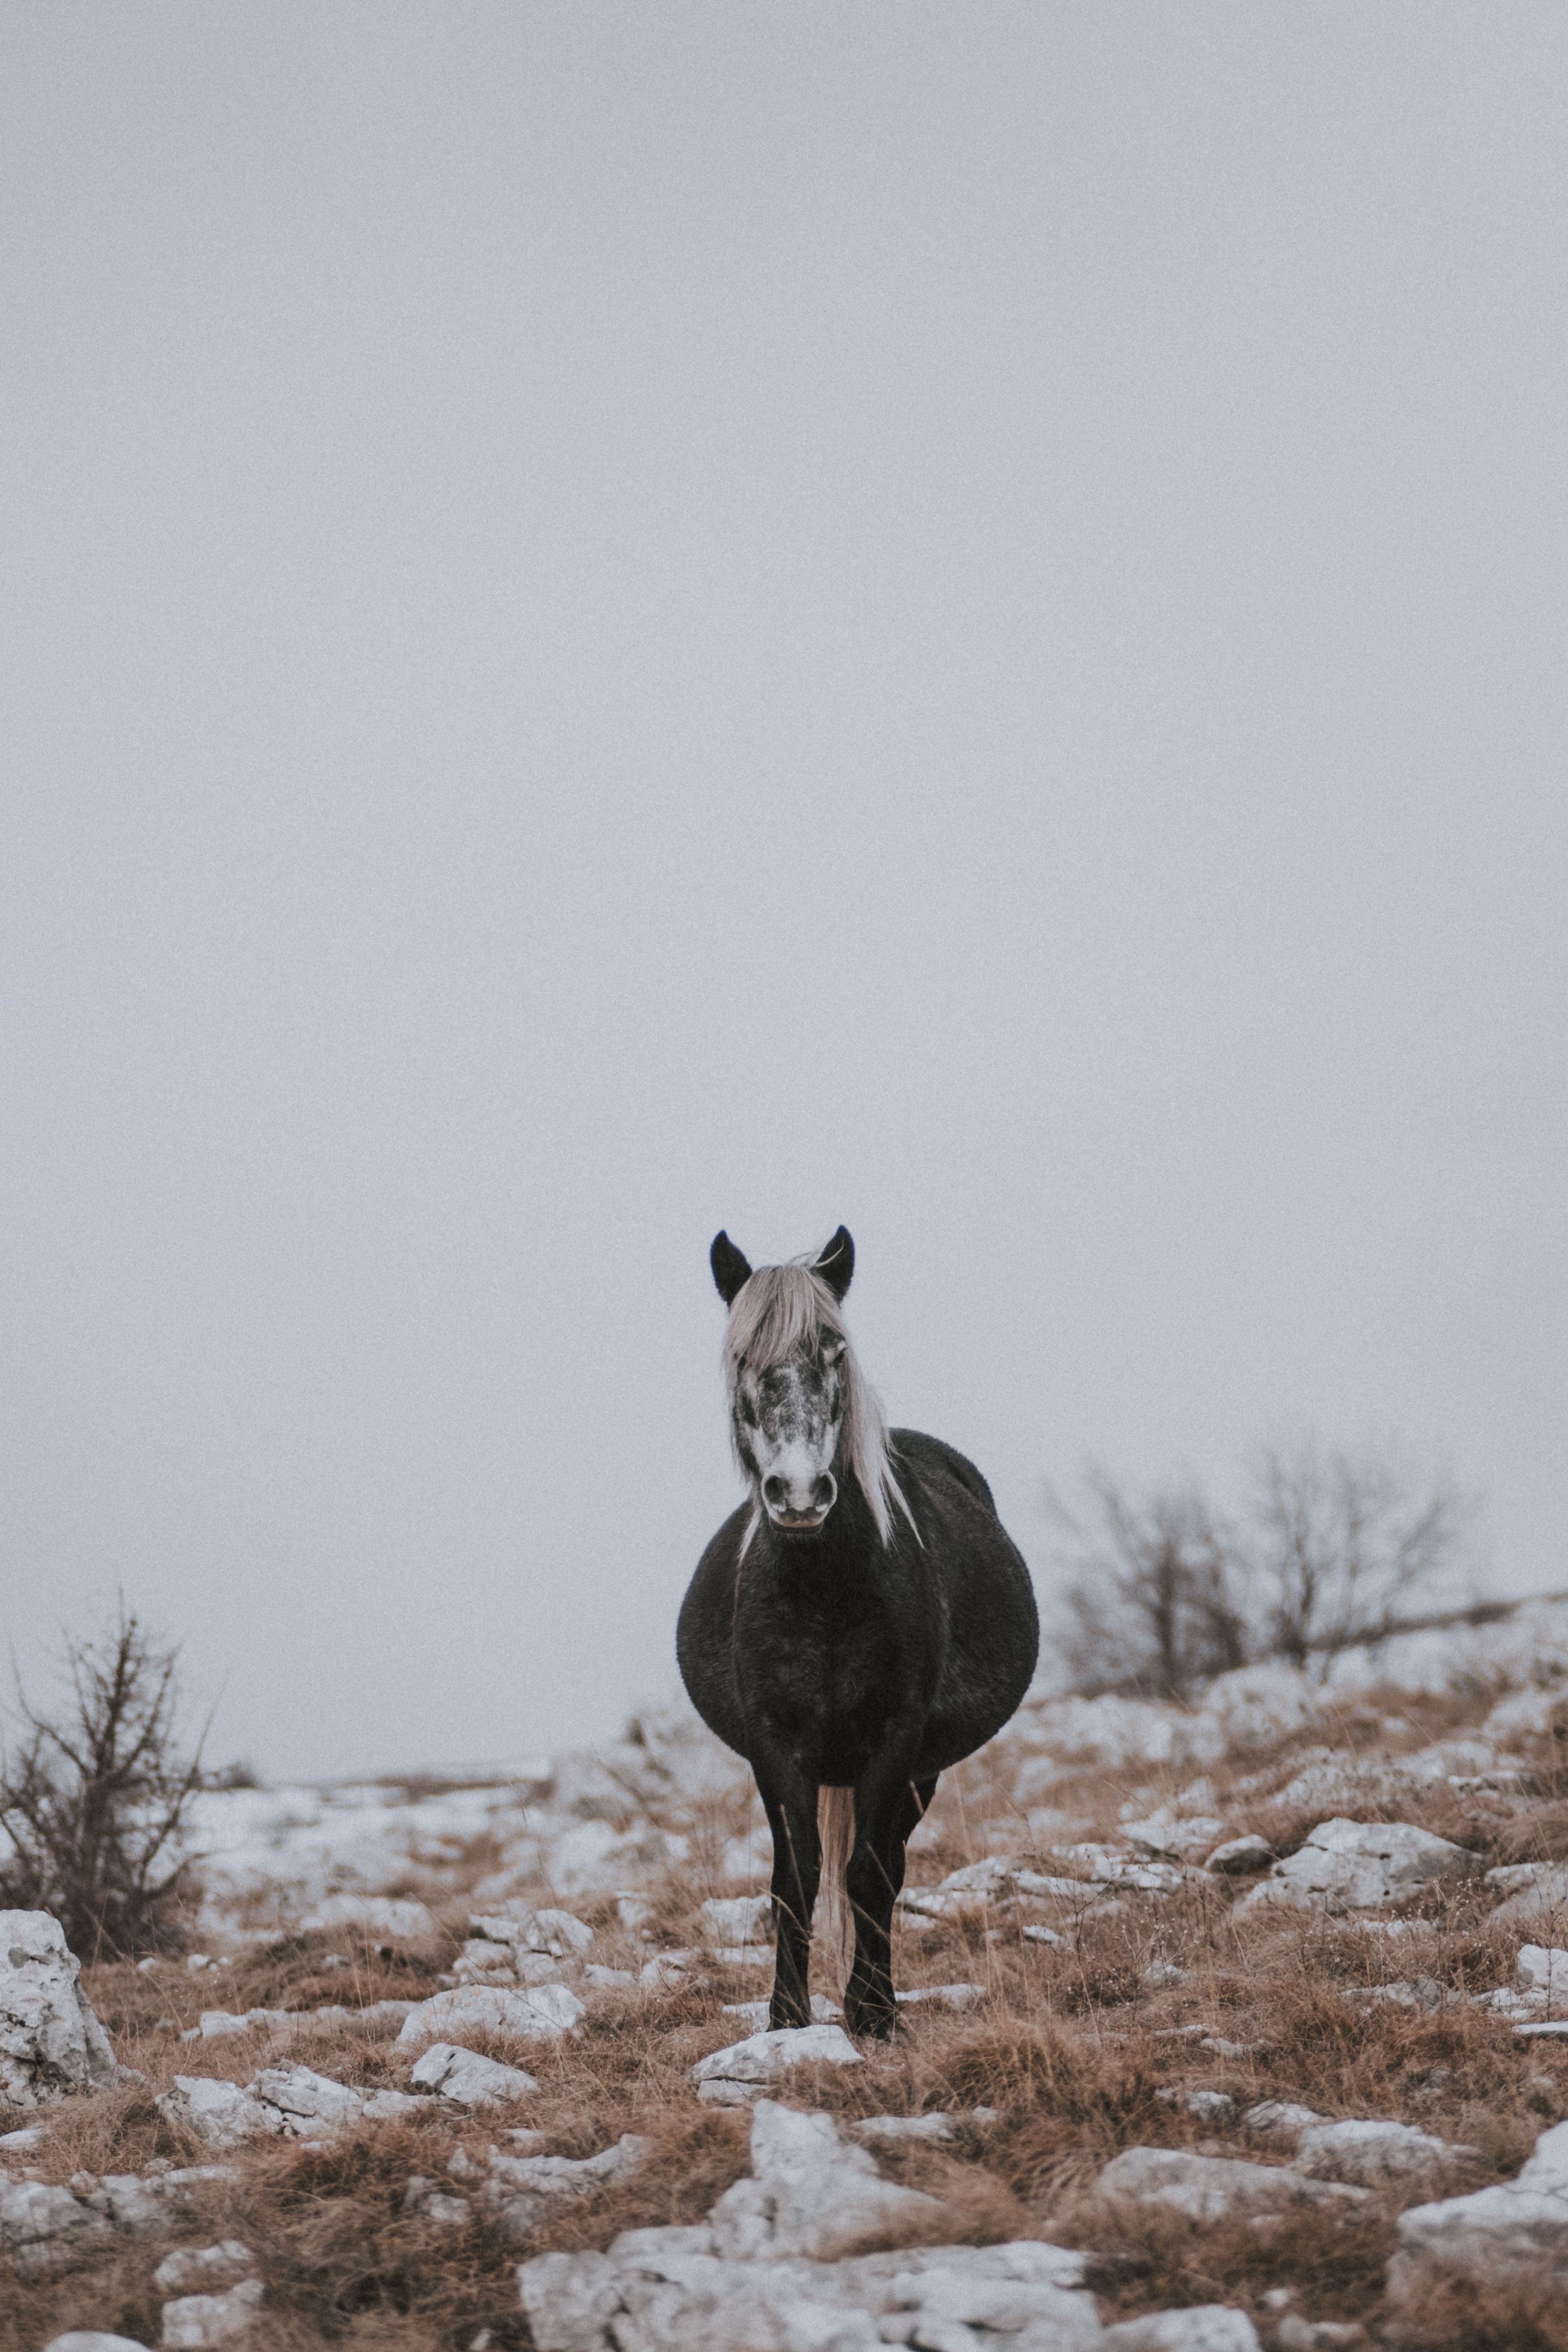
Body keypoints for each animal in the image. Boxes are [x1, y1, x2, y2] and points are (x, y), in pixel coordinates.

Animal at [677, 1226, 1039, 2040]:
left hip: (922, 1771)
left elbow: (869, 1874)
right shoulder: (777, 1746)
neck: (827, 1591)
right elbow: (797, 1875)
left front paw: (871, 2016)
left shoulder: (896, 1739)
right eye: (742, 1358)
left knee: (890, 1867)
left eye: (835, 1351)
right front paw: (786, 2019)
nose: (799, 1493)